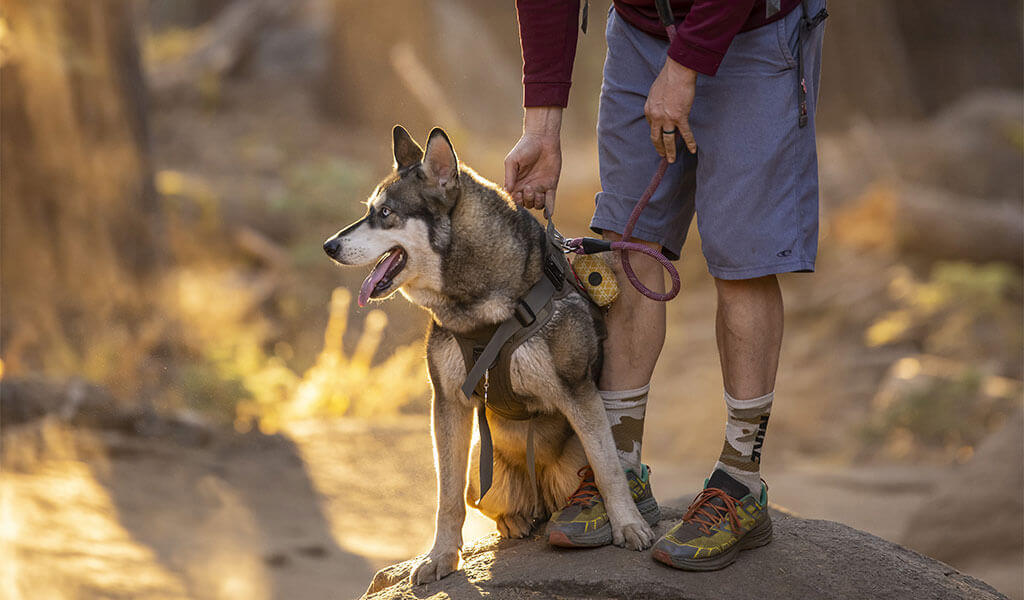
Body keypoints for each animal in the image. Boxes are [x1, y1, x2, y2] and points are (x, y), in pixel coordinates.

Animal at [321, 124, 655, 577]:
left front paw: (627, 525)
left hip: (569, 462)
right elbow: (446, 496)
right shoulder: (448, 403)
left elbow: (608, 471)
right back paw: (514, 521)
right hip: (484, 463)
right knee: (488, 503)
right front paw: (441, 556)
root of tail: (541, 497)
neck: (480, 312)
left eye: (386, 213)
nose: (328, 246)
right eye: (371, 210)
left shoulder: (579, 392)